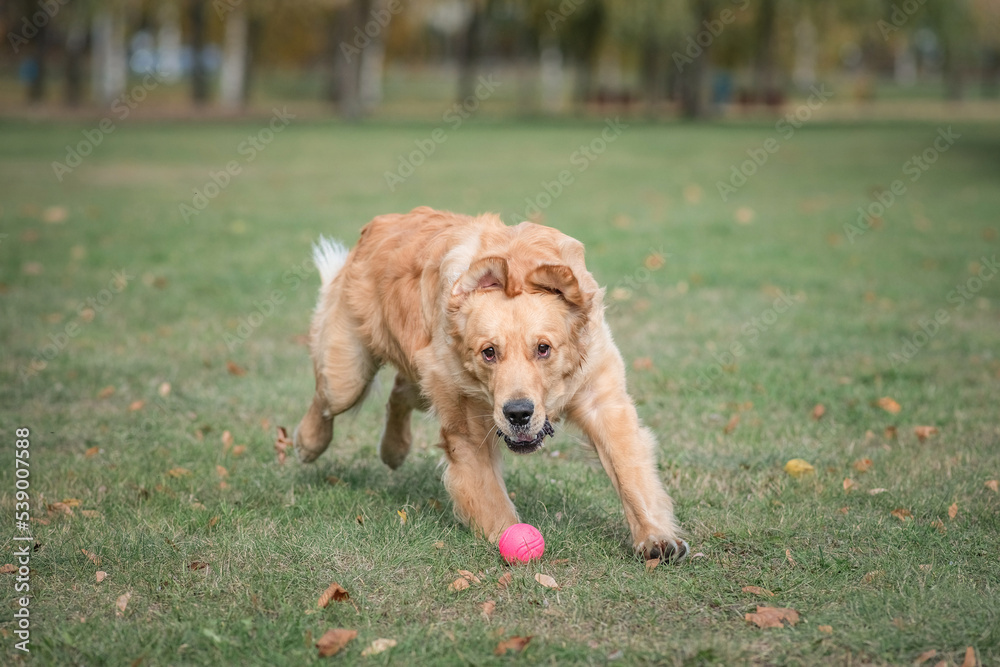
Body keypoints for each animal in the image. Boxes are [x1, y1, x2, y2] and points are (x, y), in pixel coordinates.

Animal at [292, 207, 688, 564]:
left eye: (543, 348)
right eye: (489, 352)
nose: (518, 413)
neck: (515, 269)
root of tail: (379, 223)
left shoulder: (601, 398)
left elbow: (629, 471)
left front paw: (656, 538)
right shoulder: (467, 428)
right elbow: (491, 498)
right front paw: (510, 538)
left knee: (400, 392)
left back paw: (394, 449)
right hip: (348, 374)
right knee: (327, 401)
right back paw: (308, 444)